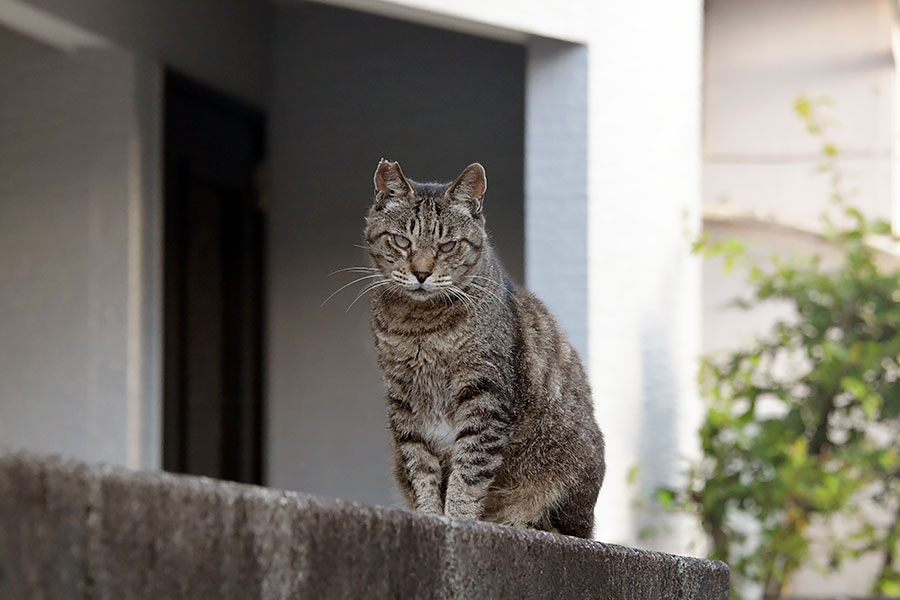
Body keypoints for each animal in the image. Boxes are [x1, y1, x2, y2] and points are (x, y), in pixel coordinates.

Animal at [366, 159, 604, 540]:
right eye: (402, 241)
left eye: (448, 245)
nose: (421, 273)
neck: (422, 328)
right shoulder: (405, 403)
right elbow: (422, 470)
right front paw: (430, 516)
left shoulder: (485, 397)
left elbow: (469, 472)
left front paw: (459, 519)